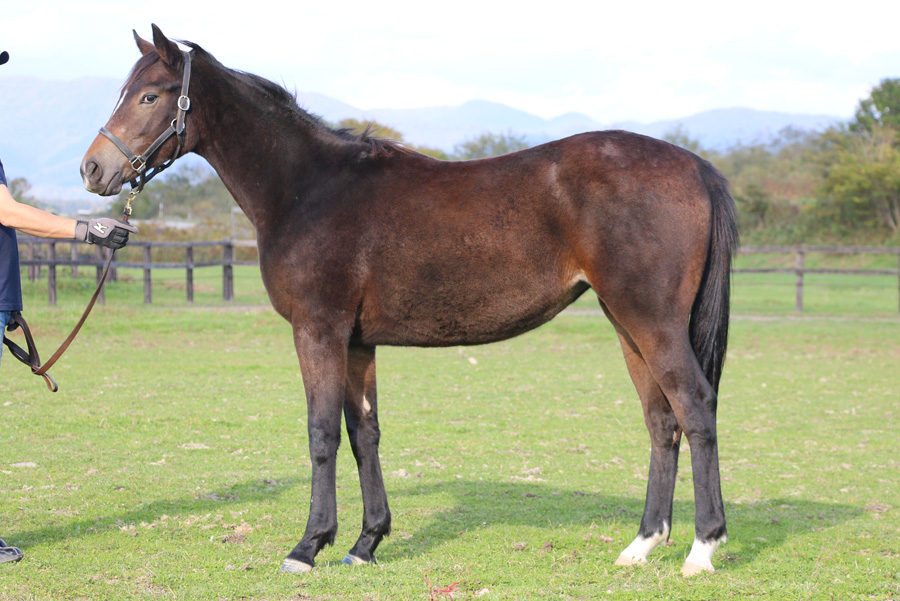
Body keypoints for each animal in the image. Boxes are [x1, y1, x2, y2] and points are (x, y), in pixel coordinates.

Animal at [81, 25, 738, 577]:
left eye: (150, 96)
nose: (93, 168)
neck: (308, 187)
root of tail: (695, 165)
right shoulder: (356, 341)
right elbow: (363, 432)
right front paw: (365, 542)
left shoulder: (318, 330)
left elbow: (322, 433)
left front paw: (307, 546)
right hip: (627, 325)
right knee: (661, 421)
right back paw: (641, 545)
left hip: (651, 323)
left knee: (696, 407)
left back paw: (702, 549)